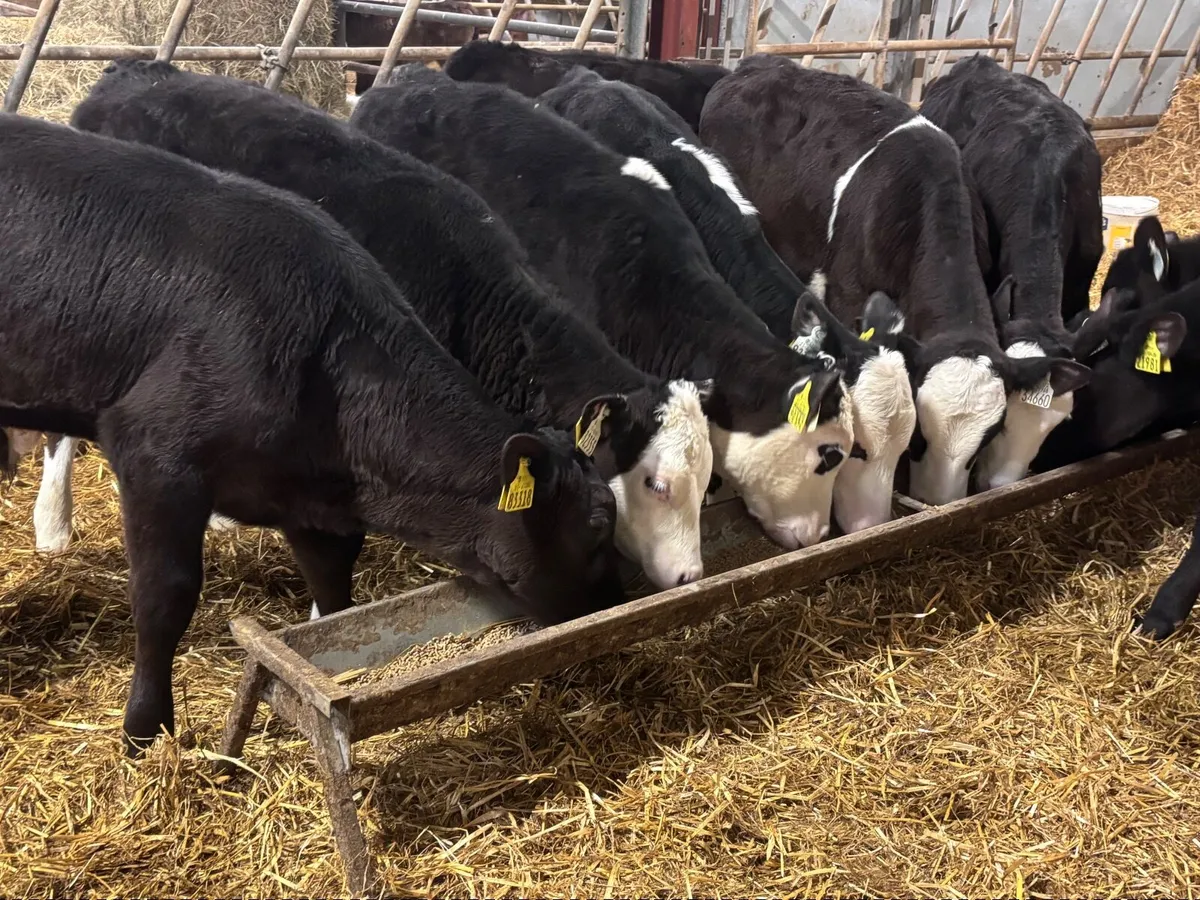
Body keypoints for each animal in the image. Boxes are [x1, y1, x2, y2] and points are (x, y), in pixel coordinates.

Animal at [0, 112, 622, 751]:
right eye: (600, 521)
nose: (622, 594)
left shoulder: (310, 499)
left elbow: (335, 588)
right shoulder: (156, 454)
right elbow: (163, 596)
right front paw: (146, 730)